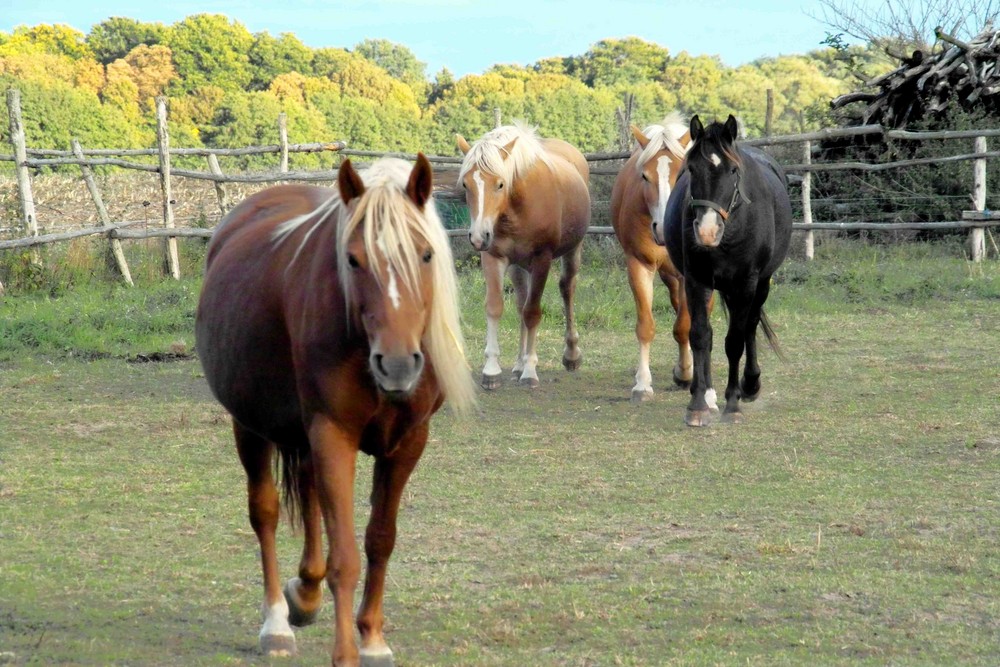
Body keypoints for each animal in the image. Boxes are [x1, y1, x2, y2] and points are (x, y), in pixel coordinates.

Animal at [197, 154, 478, 664]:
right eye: (353, 259)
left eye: (426, 255)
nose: (398, 364)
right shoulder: (333, 434)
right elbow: (344, 557)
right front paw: (346, 651)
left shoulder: (408, 442)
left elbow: (380, 539)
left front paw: (372, 638)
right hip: (249, 426)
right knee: (265, 512)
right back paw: (276, 622)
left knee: (308, 496)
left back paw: (304, 595)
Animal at [458, 122, 588, 388]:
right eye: (466, 184)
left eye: (500, 184)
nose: (478, 237)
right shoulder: (493, 256)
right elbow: (496, 307)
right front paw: (492, 370)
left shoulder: (542, 259)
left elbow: (533, 312)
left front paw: (530, 370)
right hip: (518, 266)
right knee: (521, 302)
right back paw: (517, 364)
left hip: (572, 251)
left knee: (566, 290)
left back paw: (570, 355)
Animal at [612, 111, 716, 404]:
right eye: (644, 176)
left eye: (683, 173)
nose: (661, 228)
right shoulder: (639, 266)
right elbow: (646, 326)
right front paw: (642, 385)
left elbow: (684, 326)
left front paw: (686, 373)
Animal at [652, 115, 792, 428]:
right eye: (691, 169)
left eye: (732, 170)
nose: (706, 231)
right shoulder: (696, 280)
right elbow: (700, 336)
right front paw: (697, 405)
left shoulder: (746, 284)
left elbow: (735, 342)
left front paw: (733, 404)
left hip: (761, 284)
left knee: (750, 326)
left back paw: (750, 384)